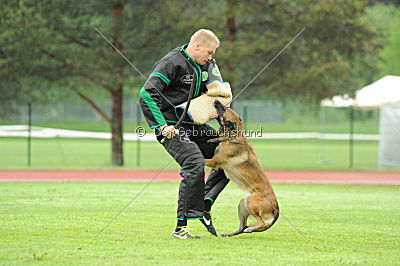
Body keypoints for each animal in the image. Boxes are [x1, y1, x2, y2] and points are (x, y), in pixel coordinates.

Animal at [203, 100, 278, 237]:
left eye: (224, 109)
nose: (216, 101)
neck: (232, 137)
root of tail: (277, 207)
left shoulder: (214, 162)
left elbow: (203, 158)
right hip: (243, 204)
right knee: (242, 227)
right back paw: (230, 234)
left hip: (250, 203)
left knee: (262, 223)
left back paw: (250, 229)